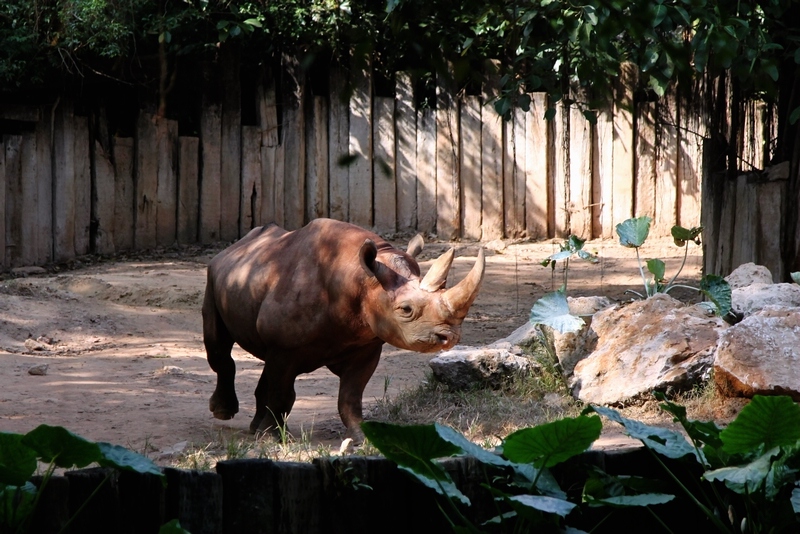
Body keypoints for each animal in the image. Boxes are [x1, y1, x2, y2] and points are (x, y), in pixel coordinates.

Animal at [203, 218, 485, 439]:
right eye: (406, 309)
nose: (450, 337)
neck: (359, 278)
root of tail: (235, 246)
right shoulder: (284, 346)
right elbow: (282, 391)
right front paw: (273, 438)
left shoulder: (367, 344)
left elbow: (350, 396)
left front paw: (362, 436)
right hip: (214, 276)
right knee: (219, 348)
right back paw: (226, 414)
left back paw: (255, 428)